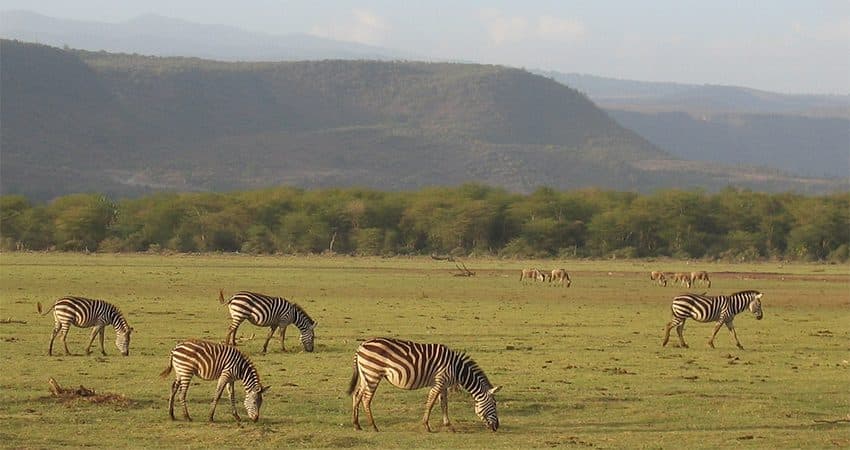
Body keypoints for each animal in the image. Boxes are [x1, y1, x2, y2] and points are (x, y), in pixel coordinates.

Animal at [347, 337, 501, 432]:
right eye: (494, 404)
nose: (497, 427)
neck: (457, 369)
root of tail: (361, 346)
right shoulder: (439, 381)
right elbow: (431, 403)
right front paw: (426, 425)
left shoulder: (443, 385)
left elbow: (444, 404)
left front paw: (449, 426)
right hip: (373, 374)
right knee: (366, 399)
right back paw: (373, 426)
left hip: (365, 374)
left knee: (357, 394)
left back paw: (357, 425)